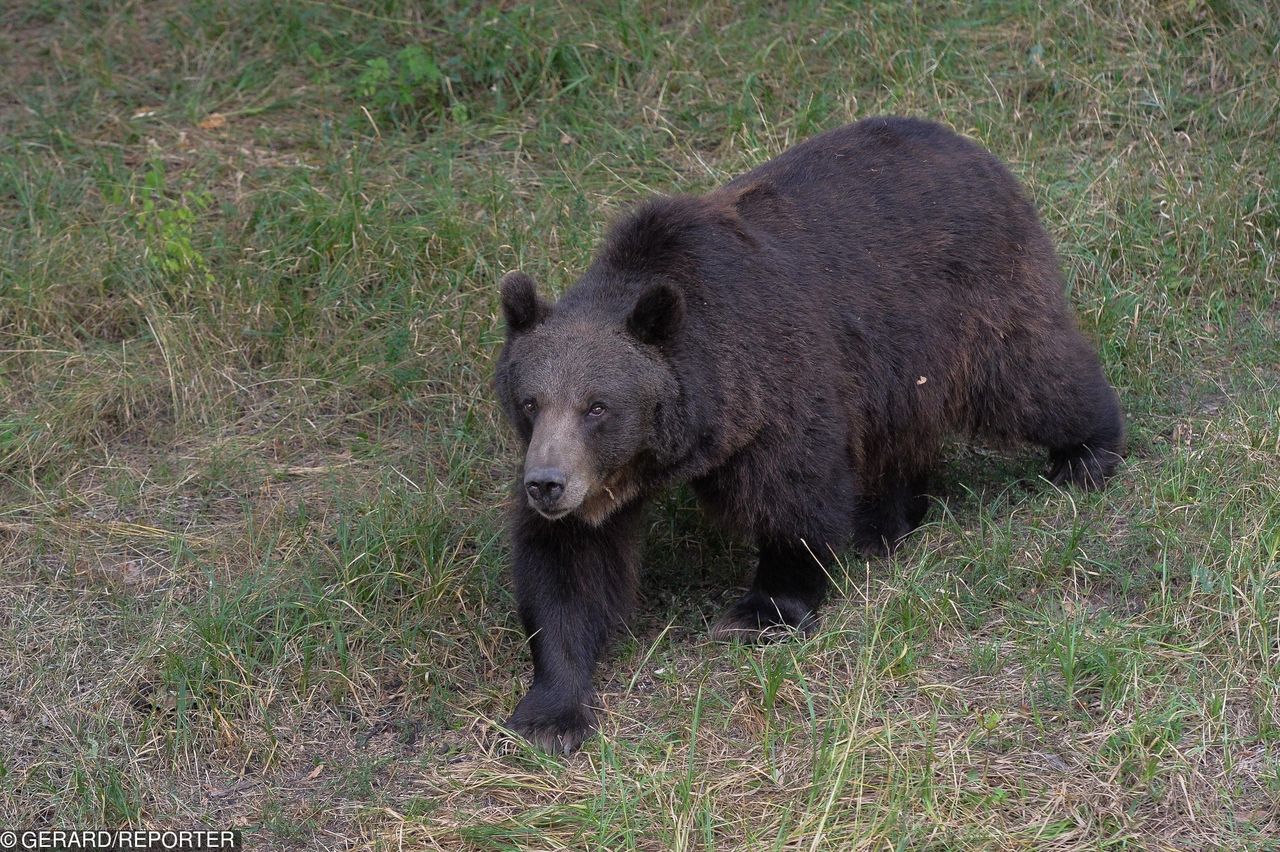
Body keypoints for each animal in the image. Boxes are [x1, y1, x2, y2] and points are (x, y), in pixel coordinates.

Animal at [494, 114, 1126, 752]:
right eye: (530, 401)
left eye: (597, 406)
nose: (546, 483)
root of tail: (972, 148)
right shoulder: (595, 483)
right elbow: (568, 568)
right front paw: (549, 714)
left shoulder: (773, 384)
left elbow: (794, 495)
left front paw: (763, 611)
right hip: (901, 368)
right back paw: (884, 522)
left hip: (963, 303)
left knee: (1030, 377)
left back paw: (1086, 453)